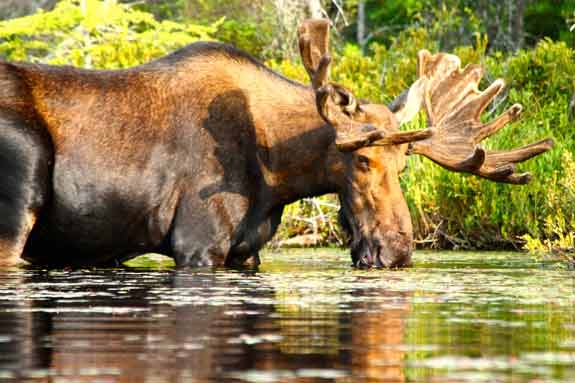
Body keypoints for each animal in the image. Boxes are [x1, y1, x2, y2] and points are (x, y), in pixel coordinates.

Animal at [0, 19, 552, 268]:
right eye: (362, 159)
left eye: (404, 166)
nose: (397, 252)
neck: (277, 174)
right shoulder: (198, 245)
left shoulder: (247, 251)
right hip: (18, 199)